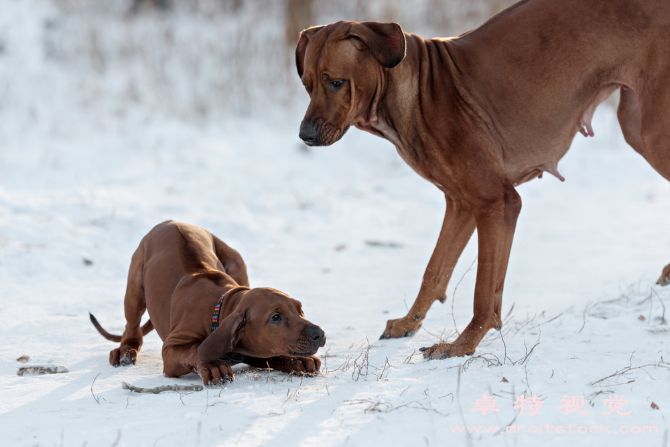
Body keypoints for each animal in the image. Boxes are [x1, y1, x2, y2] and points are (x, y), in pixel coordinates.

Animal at [90, 222, 326, 384]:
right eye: (275, 317)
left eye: (300, 310)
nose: (319, 333)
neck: (218, 309)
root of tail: (169, 222)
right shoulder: (171, 350)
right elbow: (194, 349)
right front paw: (212, 366)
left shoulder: (248, 349)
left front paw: (297, 361)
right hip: (135, 288)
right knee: (132, 327)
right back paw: (125, 350)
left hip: (236, 262)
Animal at [296, 0, 670, 360]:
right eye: (307, 85)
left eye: (336, 82)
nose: (305, 136)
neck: (417, 93)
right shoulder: (461, 204)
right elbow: (435, 271)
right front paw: (408, 323)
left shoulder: (496, 202)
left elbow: (482, 292)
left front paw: (461, 346)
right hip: (635, 125)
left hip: (653, 135)